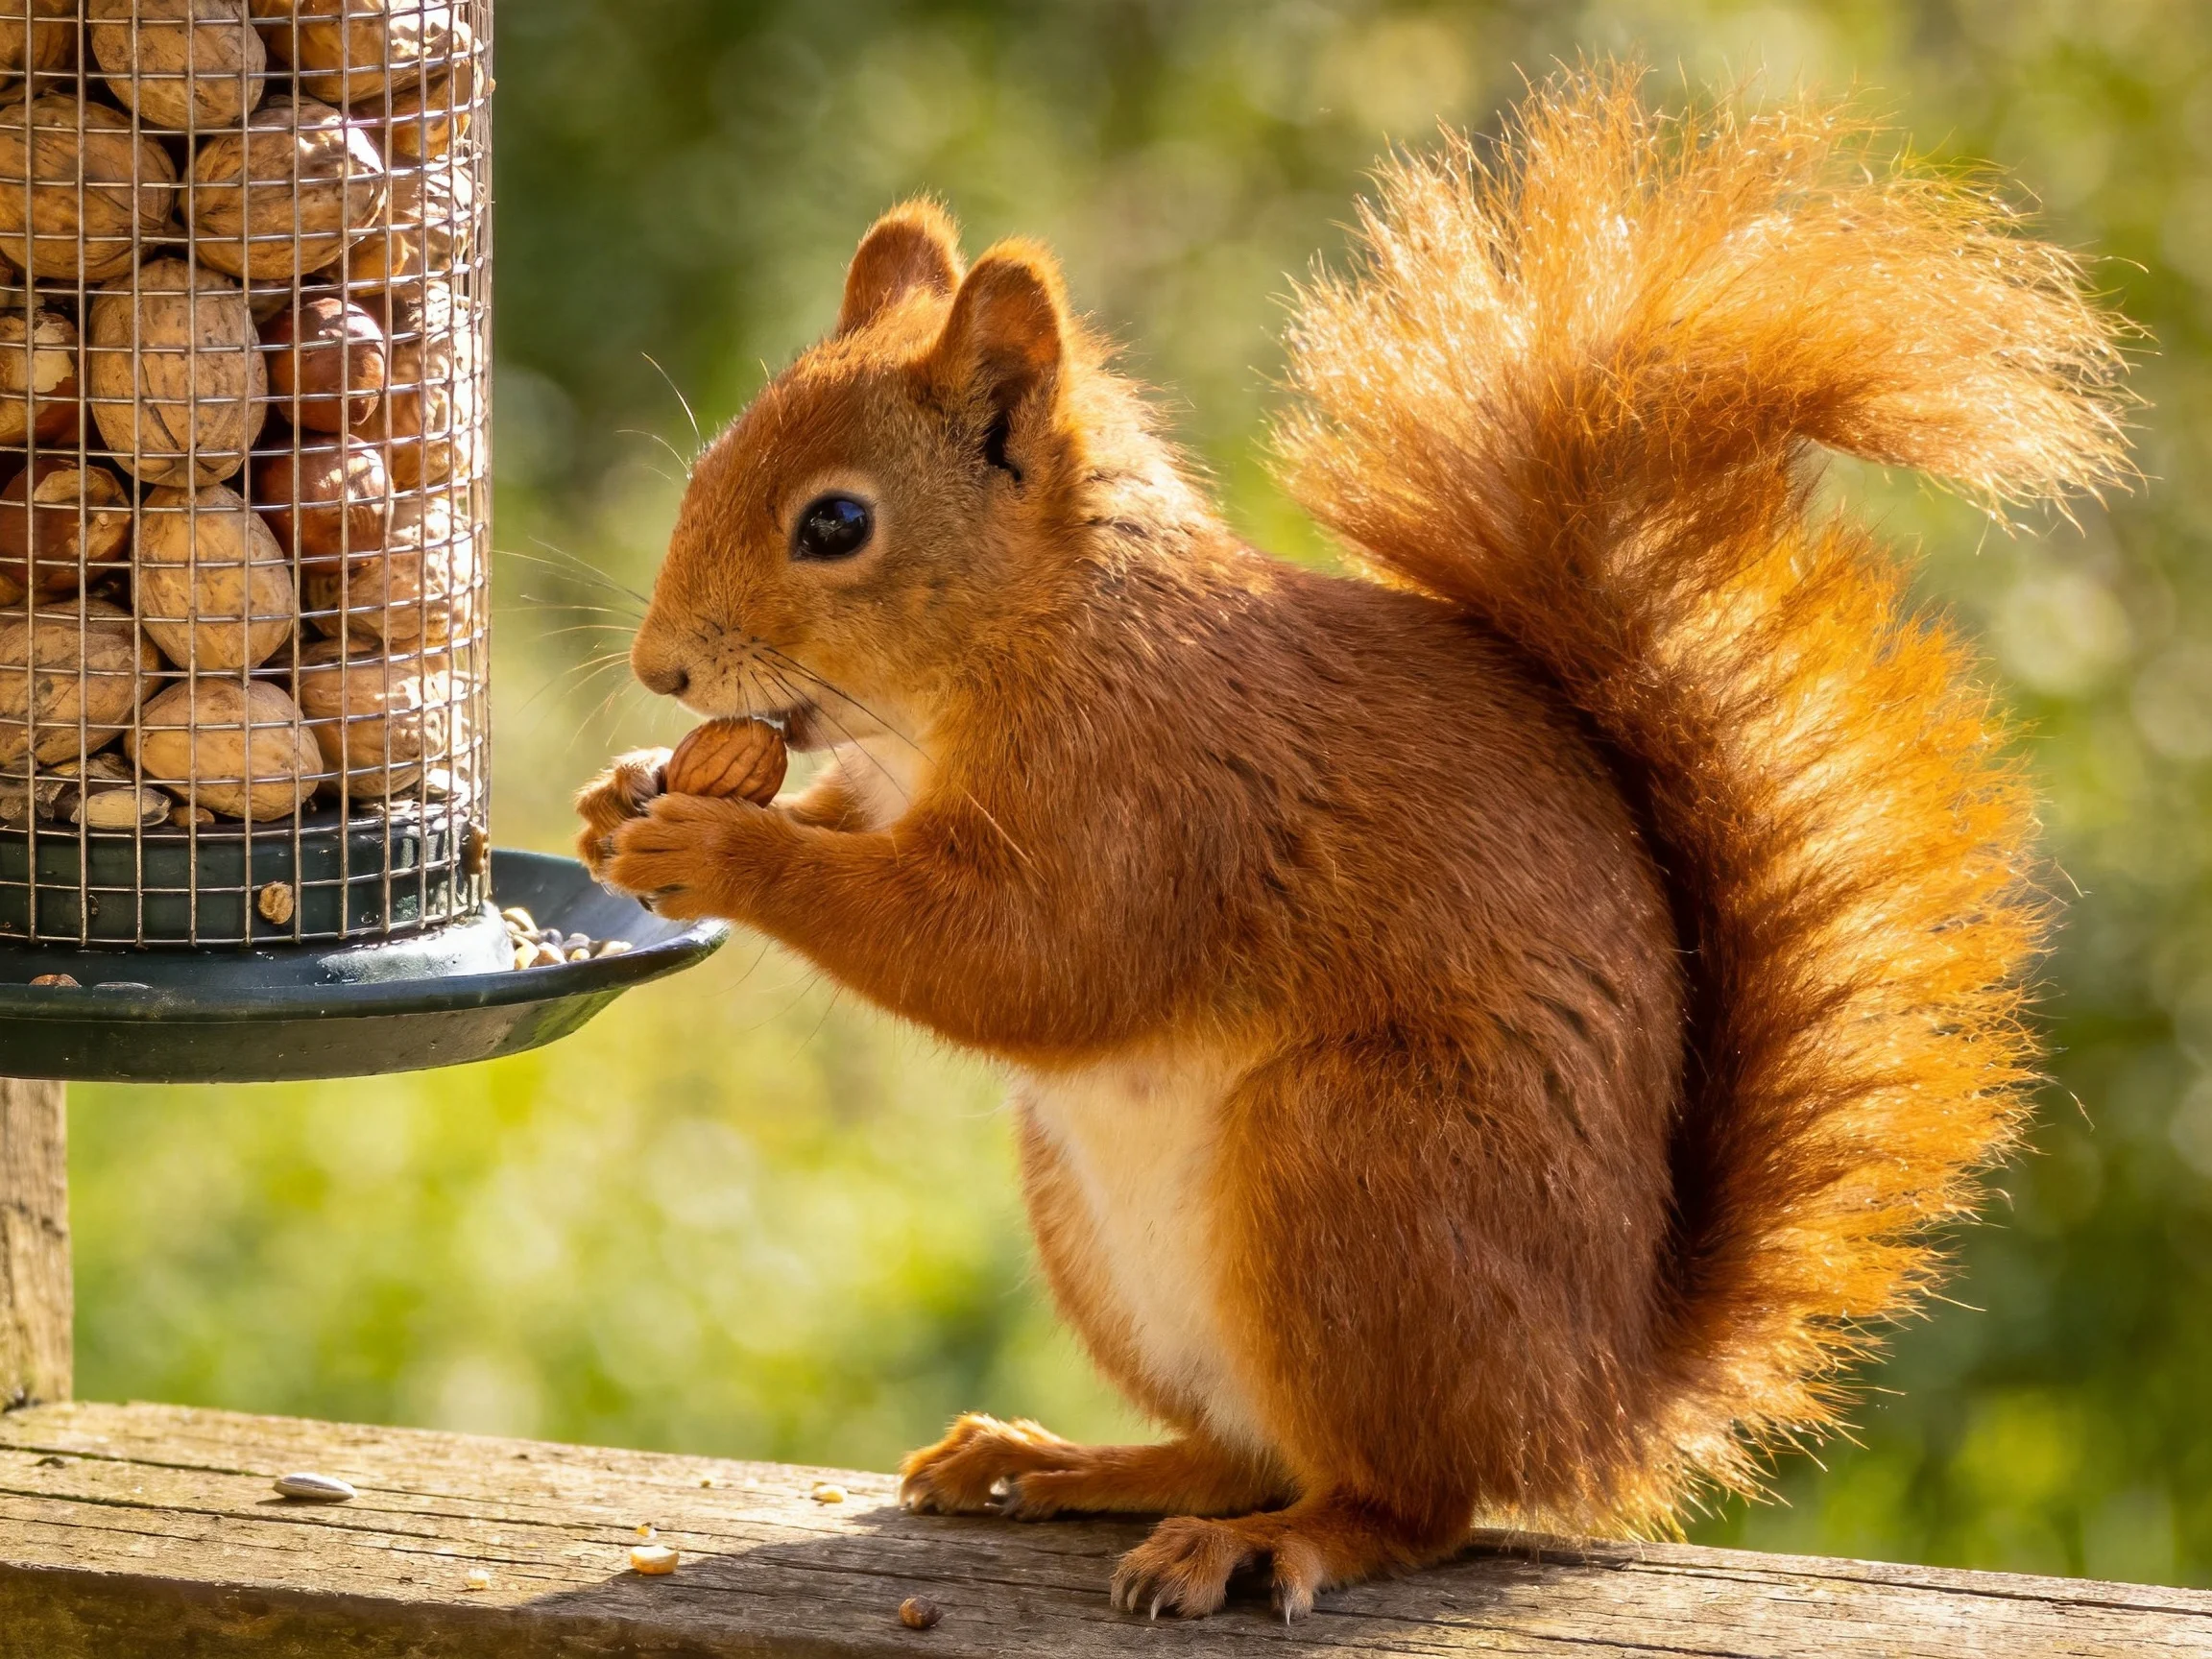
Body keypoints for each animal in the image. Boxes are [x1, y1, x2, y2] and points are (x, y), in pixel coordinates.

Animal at [578, 69, 2131, 1619]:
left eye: (836, 523)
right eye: (712, 457)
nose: (659, 670)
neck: (1020, 644)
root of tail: (1599, 1395)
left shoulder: (1158, 792)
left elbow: (1032, 963)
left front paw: (727, 854)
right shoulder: (895, 787)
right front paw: (625, 798)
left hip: (1354, 1167)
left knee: (1408, 1500)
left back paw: (1270, 1542)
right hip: (1115, 1234)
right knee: (1243, 1447)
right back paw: (1071, 1462)